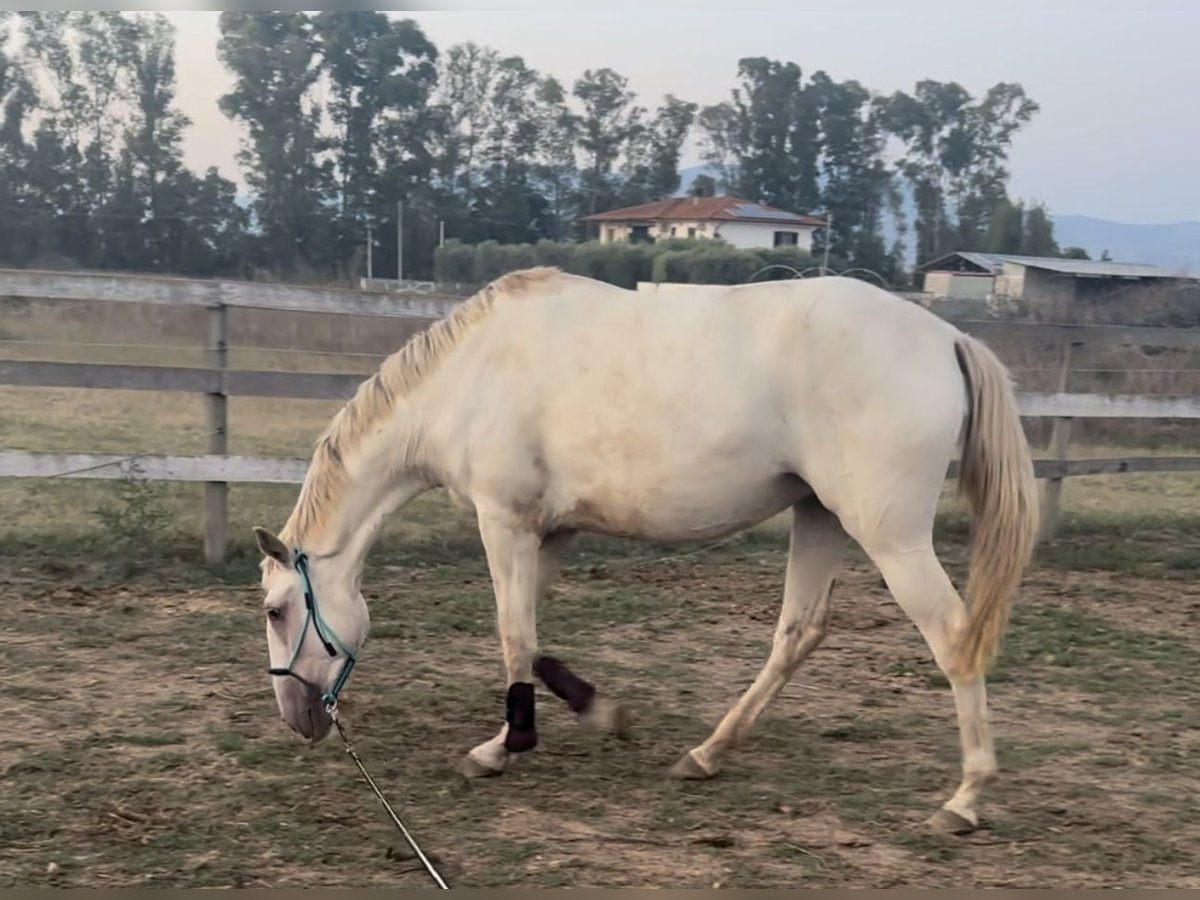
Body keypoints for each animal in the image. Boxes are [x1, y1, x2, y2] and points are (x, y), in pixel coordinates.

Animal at [255, 267, 1041, 840]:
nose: (298, 721)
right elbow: (531, 636)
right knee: (797, 634)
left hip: (890, 536)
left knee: (953, 639)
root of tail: (948, 339)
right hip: (820, 516)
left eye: (275, 610)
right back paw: (706, 755)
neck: (473, 374)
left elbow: (513, 636)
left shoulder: (504, 522)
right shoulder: (550, 531)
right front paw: (595, 712)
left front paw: (505, 747)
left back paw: (965, 798)